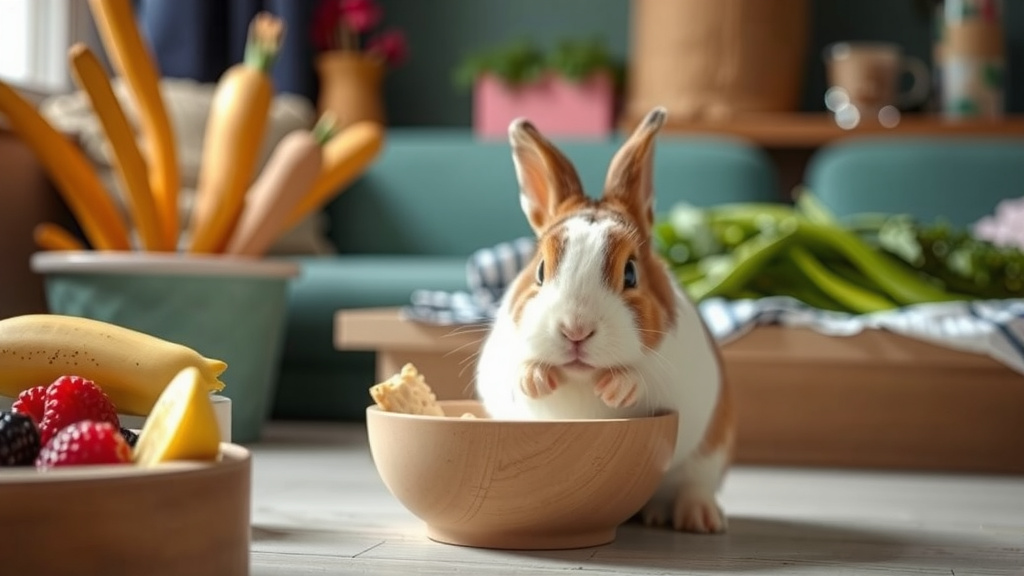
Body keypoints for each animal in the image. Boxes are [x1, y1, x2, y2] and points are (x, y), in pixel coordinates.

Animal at [474, 107, 735, 534]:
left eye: (630, 273)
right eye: (540, 270)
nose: (575, 330)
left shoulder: (672, 379)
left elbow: (643, 379)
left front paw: (615, 387)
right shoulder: (498, 368)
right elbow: (517, 375)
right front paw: (536, 377)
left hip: (711, 450)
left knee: (695, 484)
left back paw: (699, 519)